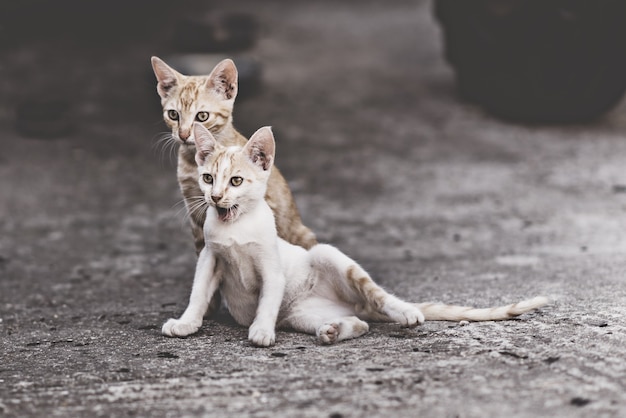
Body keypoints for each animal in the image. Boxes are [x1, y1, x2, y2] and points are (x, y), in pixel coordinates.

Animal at [163, 123, 548, 346]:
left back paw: (405, 312)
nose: (215, 197)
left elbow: (268, 298)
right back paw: (334, 330)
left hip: (327, 255)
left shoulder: (270, 265)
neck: (234, 225)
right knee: (360, 323)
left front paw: (260, 330)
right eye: (208, 178)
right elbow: (198, 294)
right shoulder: (210, 257)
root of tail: (353, 303)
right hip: (301, 314)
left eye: (236, 181)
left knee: (378, 296)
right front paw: (186, 324)